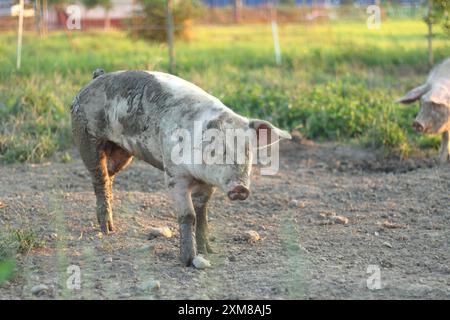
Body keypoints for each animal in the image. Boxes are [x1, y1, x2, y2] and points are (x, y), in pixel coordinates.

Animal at [68, 69, 290, 266]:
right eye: (217, 151)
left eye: (247, 151)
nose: (240, 189)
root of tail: (95, 79)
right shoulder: (174, 175)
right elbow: (188, 215)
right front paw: (188, 261)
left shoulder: (207, 184)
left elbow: (202, 214)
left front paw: (208, 251)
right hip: (86, 136)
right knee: (99, 177)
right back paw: (106, 230)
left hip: (123, 152)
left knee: (109, 176)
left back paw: (111, 225)